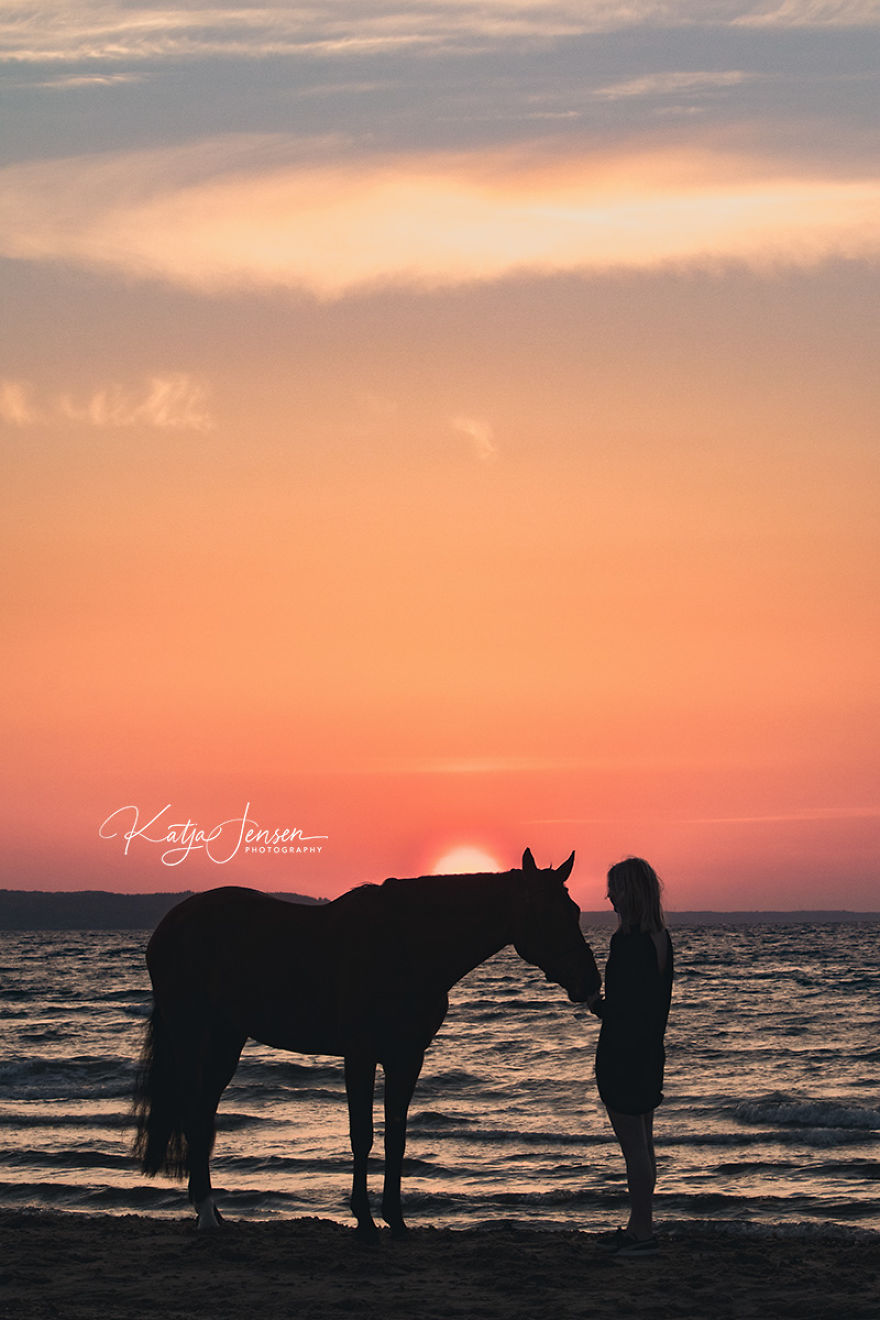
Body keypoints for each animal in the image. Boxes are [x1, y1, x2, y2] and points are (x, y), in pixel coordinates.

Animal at [132, 847, 600, 1234]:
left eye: (576, 909)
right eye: (548, 914)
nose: (590, 983)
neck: (407, 945)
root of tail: (170, 924)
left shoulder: (406, 1057)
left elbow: (396, 1135)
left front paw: (396, 1218)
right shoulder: (359, 1055)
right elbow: (363, 1134)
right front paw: (363, 1218)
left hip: (227, 1039)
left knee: (204, 1111)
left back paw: (211, 1209)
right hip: (192, 1033)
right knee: (194, 1111)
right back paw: (207, 1214)